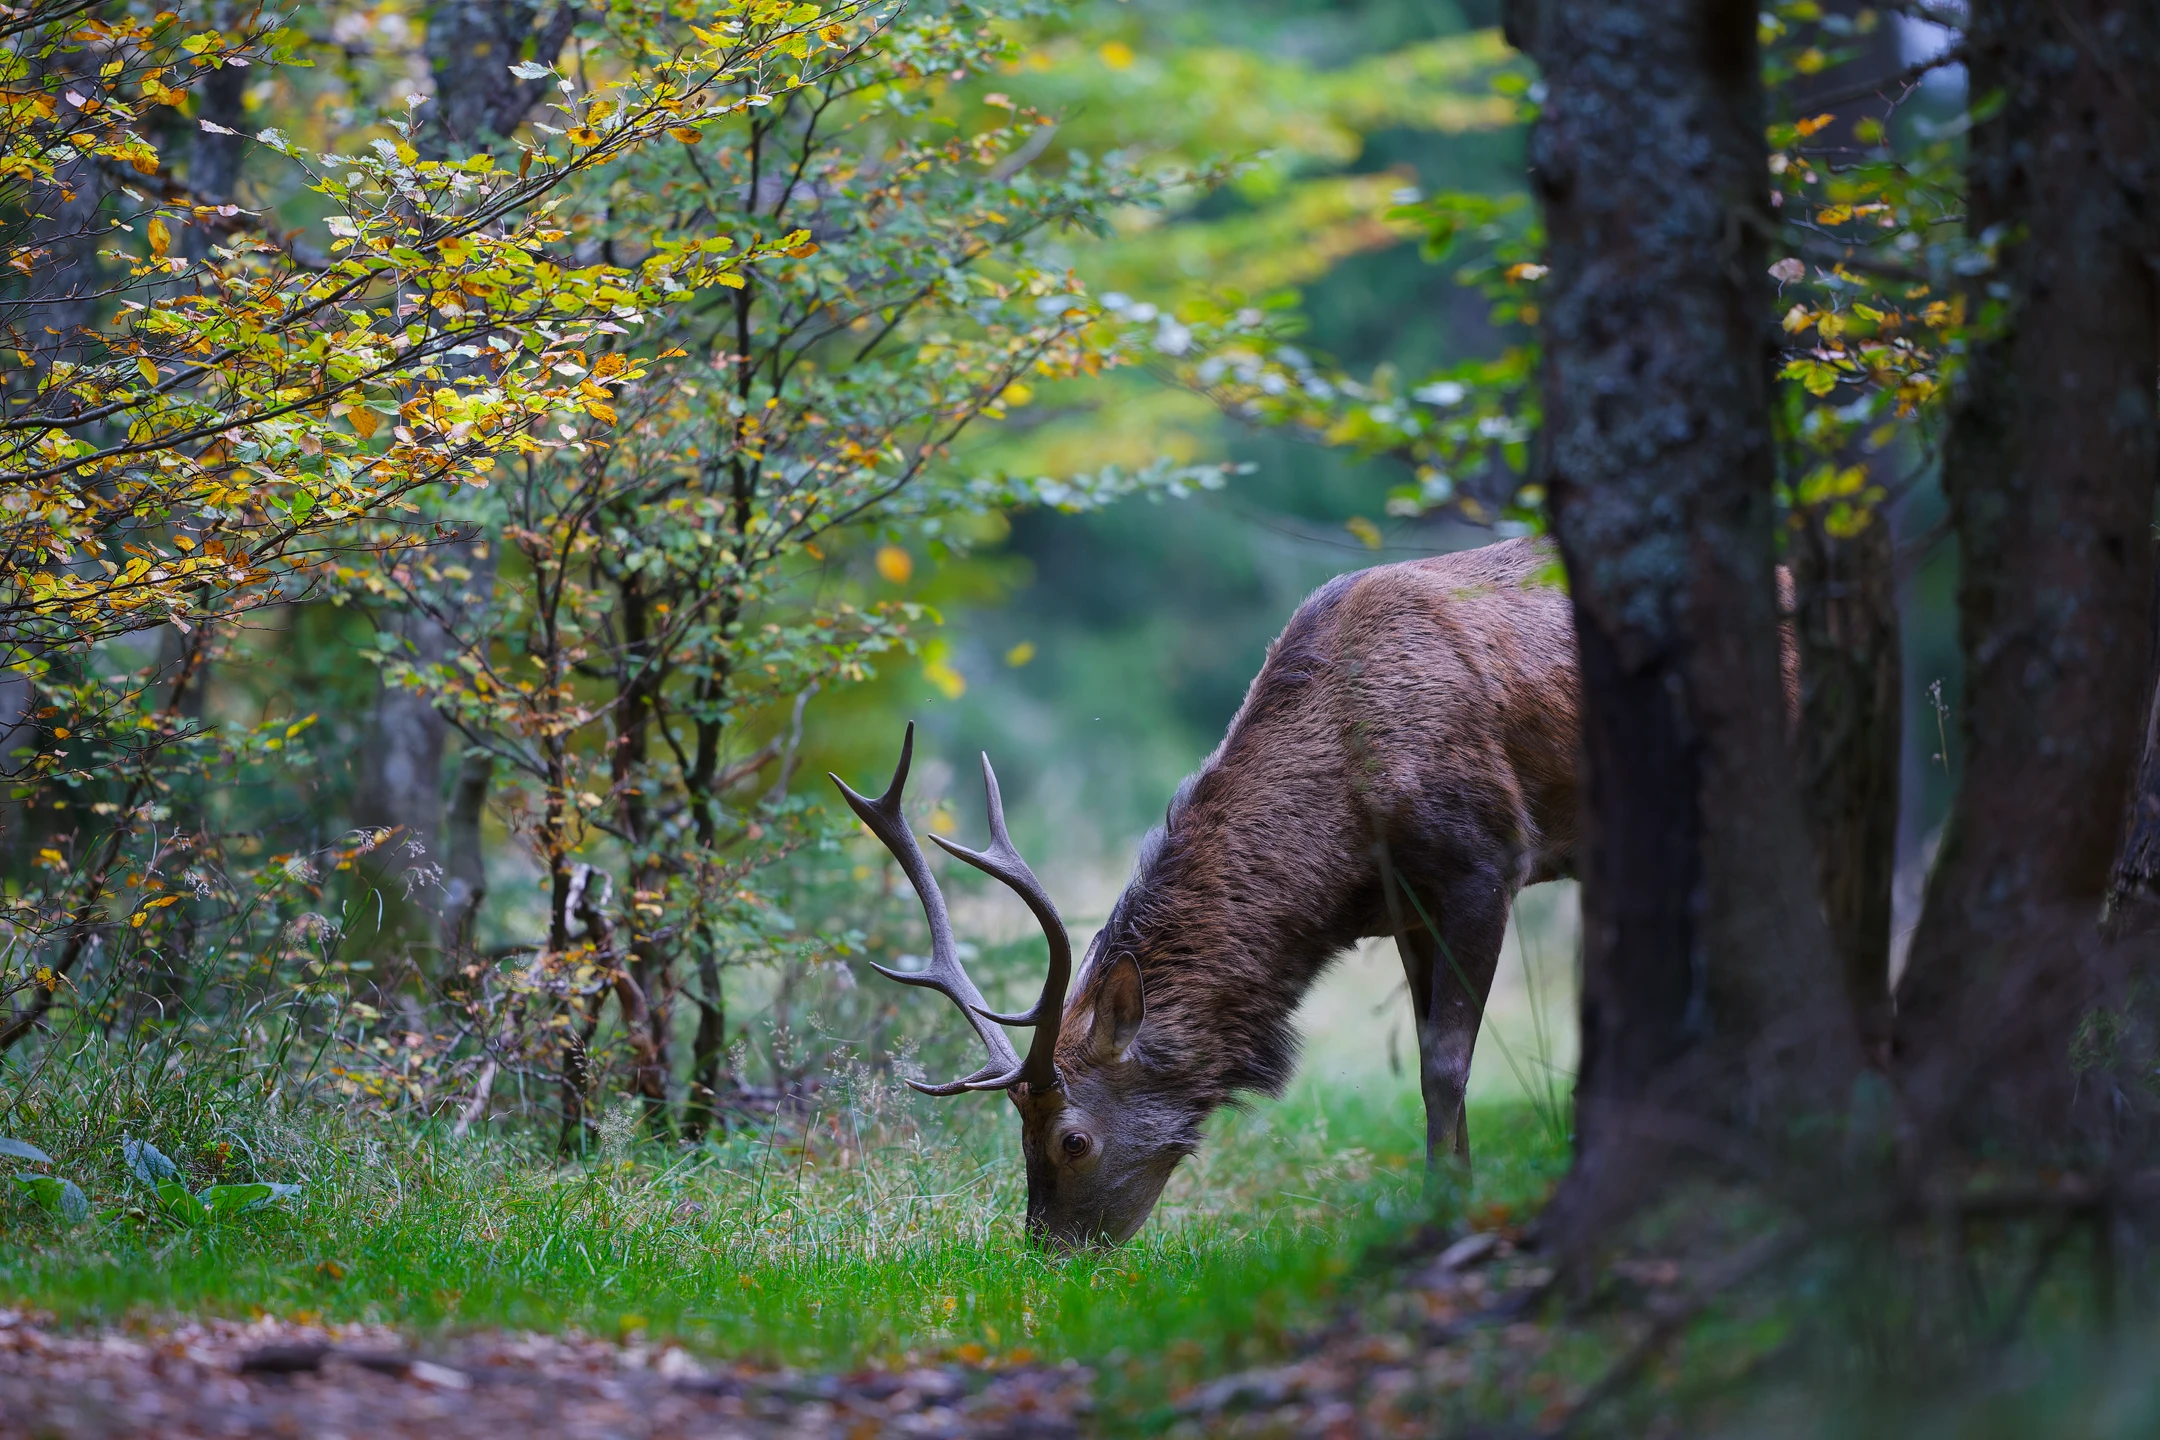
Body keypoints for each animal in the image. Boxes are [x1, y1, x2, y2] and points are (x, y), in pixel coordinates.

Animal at [832, 535, 1580, 1249]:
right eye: (1017, 1125)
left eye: (1073, 1140)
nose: (1048, 1251)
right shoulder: (1411, 907)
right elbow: (1432, 1053)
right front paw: (1456, 1191)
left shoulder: (1486, 860)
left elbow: (1445, 1065)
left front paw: (1442, 1212)